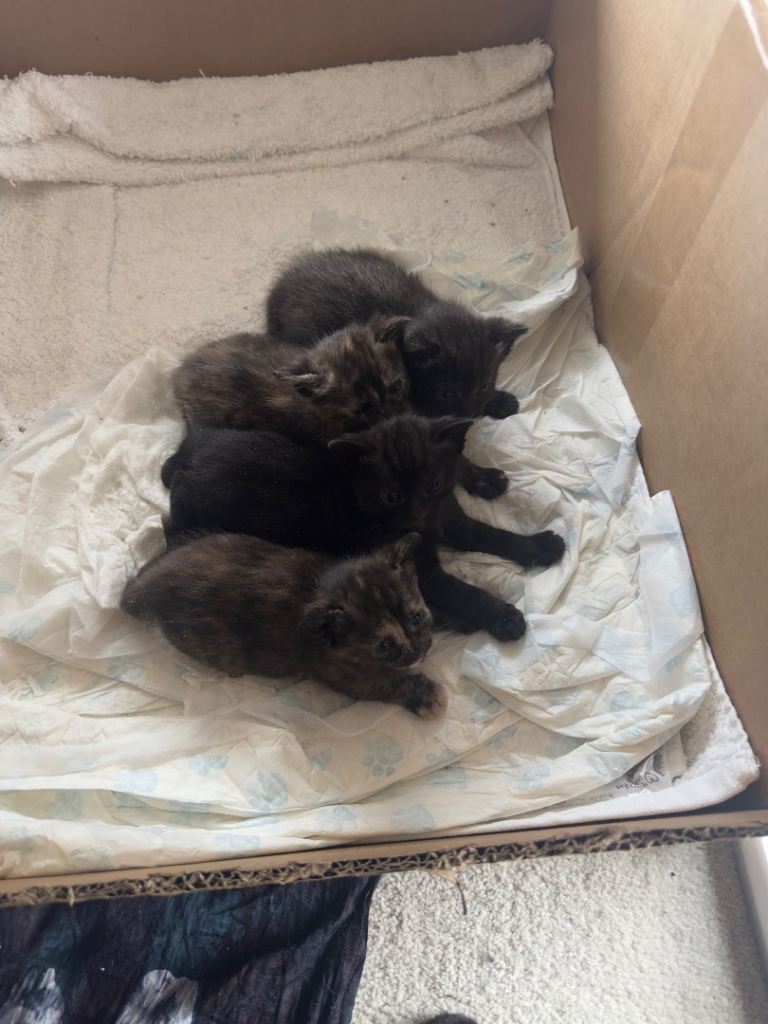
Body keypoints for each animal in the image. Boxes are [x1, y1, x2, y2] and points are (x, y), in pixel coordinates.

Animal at [121, 531, 444, 717]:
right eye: (385, 644)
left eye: (417, 616)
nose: (420, 653)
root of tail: (157, 584)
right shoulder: (340, 674)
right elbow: (386, 684)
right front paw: (425, 695)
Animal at [162, 416, 564, 641]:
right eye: (391, 496)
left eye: (433, 485)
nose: (417, 516)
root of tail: (184, 462)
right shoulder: (422, 570)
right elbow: (463, 591)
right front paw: (502, 617)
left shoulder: (451, 520)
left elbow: (491, 535)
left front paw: (539, 547)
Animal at [265, 247, 527, 499]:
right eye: (446, 393)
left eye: (483, 387)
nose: (470, 416)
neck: (417, 310)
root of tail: (278, 289)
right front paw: (483, 479)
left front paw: (499, 400)